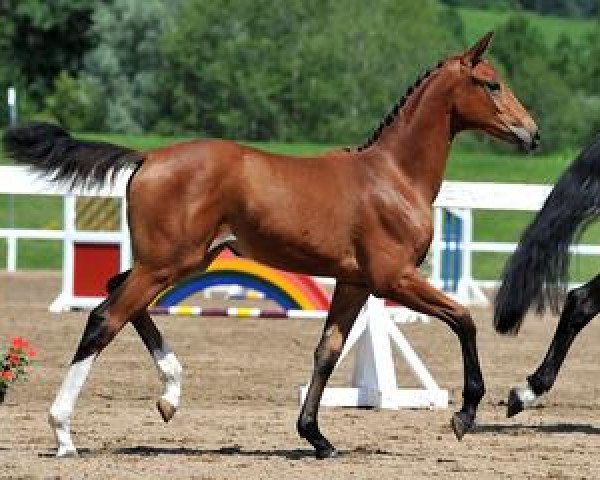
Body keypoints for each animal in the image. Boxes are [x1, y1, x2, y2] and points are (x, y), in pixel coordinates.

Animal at [3, 31, 540, 460]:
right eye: (491, 83)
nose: (533, 134)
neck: (393, 176)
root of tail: (148, 157)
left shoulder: (354, 282)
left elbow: (327, 351)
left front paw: (316, 438)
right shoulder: (395, 278)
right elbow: (464, 319)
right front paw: (465, 414)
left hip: (181, 260)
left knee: (119, 295)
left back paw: (170, 395)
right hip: (165, 263)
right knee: (104, 317)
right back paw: (64, 433)